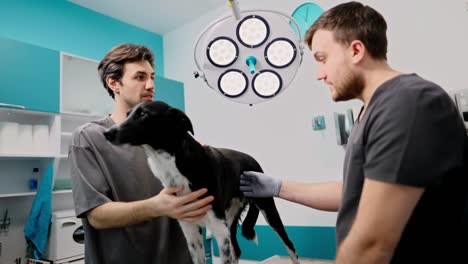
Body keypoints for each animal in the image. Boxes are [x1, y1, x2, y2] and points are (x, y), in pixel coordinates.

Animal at [103, 101, 300, 264]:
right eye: (128, 113)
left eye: (143, 114)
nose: (107, 133)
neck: (174, 163)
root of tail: (253, 160)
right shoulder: (190, 230)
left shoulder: (219, 230)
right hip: (230, 218)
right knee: (236, 250)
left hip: (267, 209)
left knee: (290, 245)